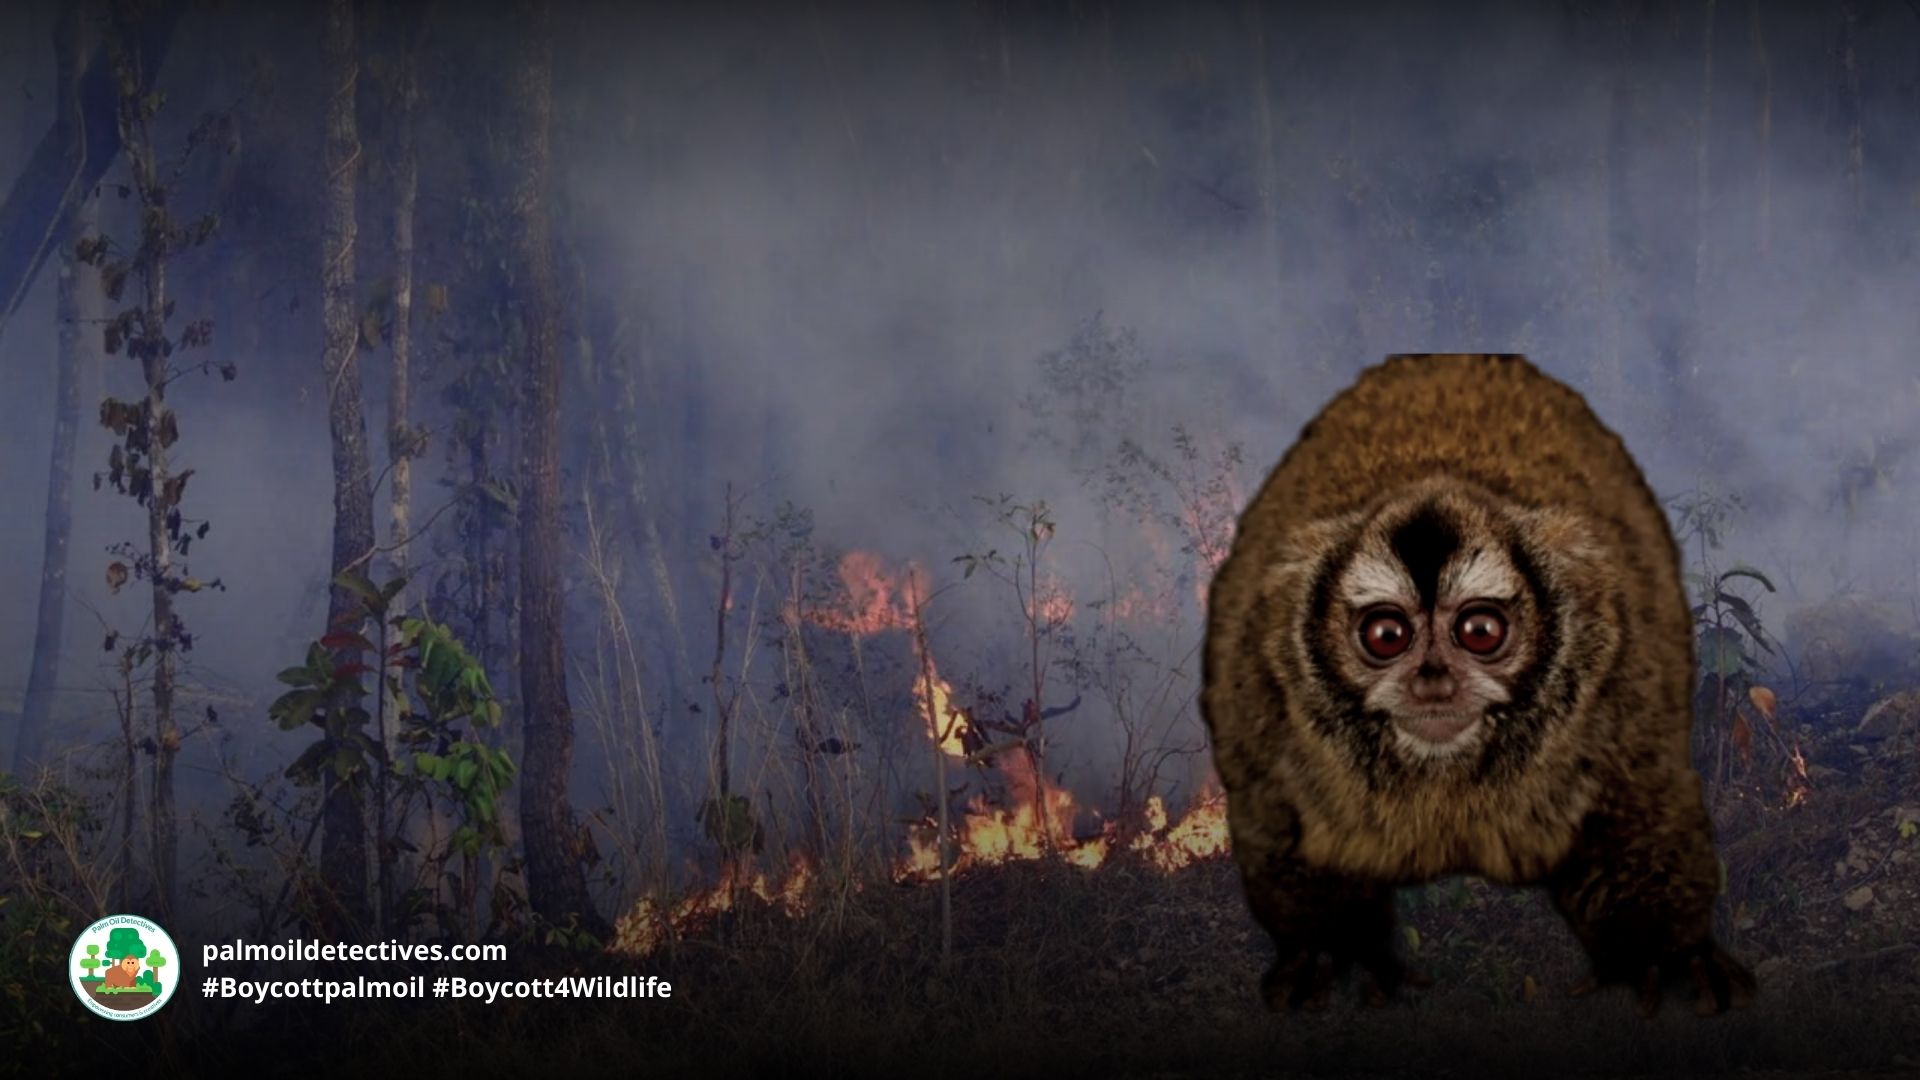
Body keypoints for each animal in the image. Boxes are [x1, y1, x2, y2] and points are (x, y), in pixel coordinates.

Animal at [1202, 353, 1754, 1017]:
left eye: (1481, 631)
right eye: (1385, 634)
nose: (1433, 681)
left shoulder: (1629, 680)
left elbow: (1642, 804)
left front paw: (1667, 952)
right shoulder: (1259, 685)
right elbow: (1276, 811)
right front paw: (1332, 949)